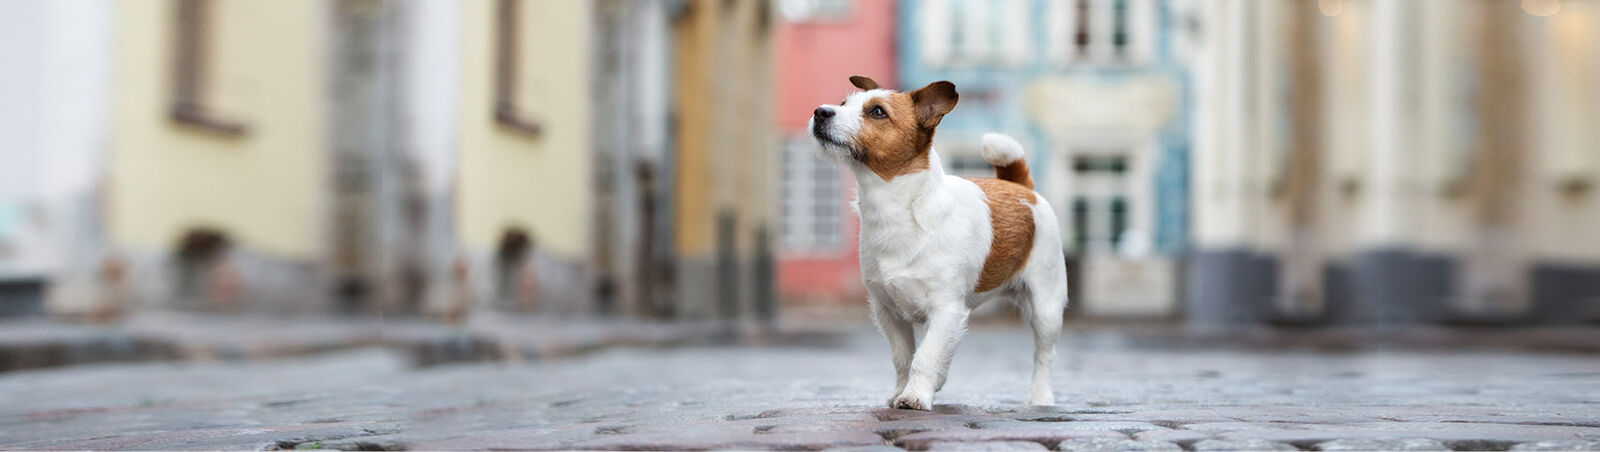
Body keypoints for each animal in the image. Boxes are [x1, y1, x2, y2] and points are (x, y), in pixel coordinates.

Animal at [812, 74, 1062, 410]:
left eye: (877, 112)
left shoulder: (946, 309)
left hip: (1046, 306)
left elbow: (925, 357)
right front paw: (902, 391)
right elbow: (904, 357)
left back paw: (1040, 397)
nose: (820, 112)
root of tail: (1020, 188)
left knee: (1044, 354)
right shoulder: (888, 312)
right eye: (843, 103)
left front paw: (915, 396)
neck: (896, 208)